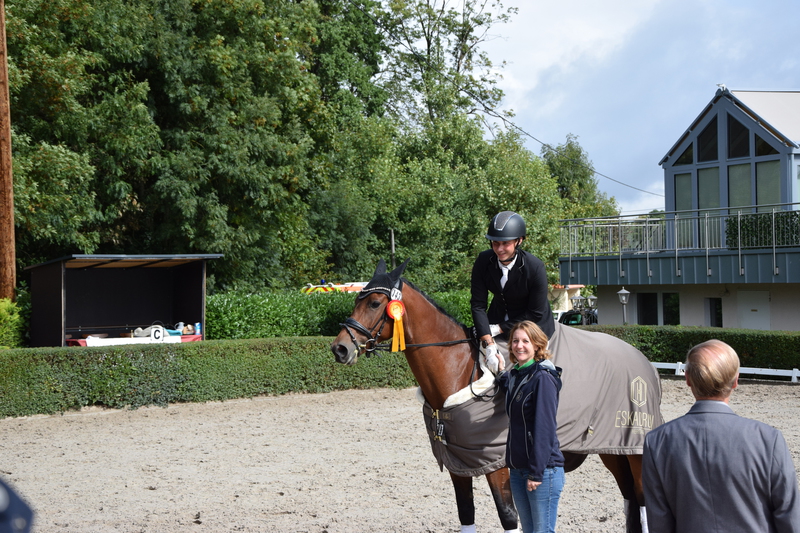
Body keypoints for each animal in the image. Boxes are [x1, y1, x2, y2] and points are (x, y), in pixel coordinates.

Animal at [331, 259, 662, 533]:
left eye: (375, 303)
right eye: (356, 300)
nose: (339, 349)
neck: (459, 371)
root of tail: (642, 359)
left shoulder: (498, 468)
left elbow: (509, 518)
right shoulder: (459, 465)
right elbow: (466, 515)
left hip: (634, 448)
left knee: (643, 500)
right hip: (613, 449)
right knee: (630, 500)